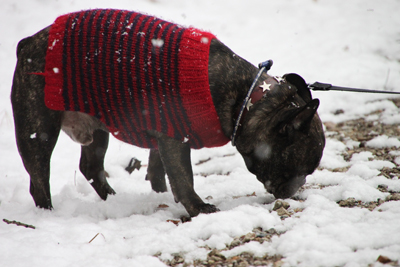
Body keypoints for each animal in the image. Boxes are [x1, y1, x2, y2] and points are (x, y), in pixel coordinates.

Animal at [11, 9, 324, 218]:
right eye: (300, 169)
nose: (297, 189)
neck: (246, 100)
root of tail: (28, 42)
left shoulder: (163, 136)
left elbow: (158, 168)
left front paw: (161, 195)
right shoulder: (175, 138)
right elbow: (183, 177)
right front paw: (198, 208)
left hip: (98, 126)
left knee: (91, 166)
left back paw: (113, 199)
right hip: (38, 131)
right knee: (39, 178)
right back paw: (48, 214)